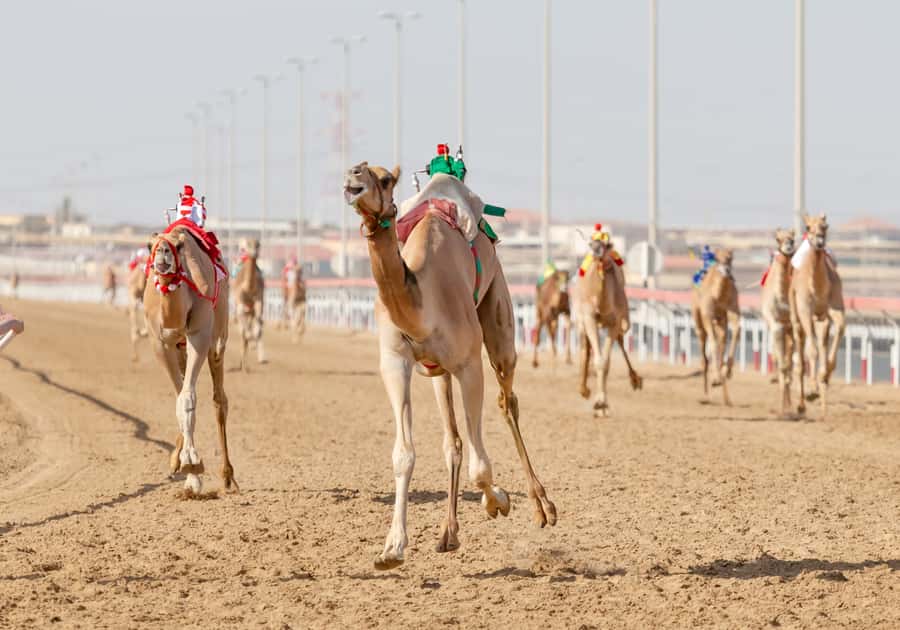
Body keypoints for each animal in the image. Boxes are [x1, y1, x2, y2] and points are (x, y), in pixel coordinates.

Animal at [143, 227, 236, 494]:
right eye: (149, 245)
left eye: (179, 246)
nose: (163, 253)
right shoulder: (161, 344)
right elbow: (180, 398)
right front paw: (187, 469)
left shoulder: (199, 335)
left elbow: (187, 398)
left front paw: (192, 465)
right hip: (179, 349)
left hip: (218, 339)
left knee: (219, 400)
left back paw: (227, 475)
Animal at [344, 162, 556, 570]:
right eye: (359, 171)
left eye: (386, 179)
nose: (354, 176)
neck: (423, 305)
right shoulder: (395, 362)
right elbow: (404, 454)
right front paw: (392, 548)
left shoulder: (469, 364)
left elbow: (481, 466)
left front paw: (499, 501)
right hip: (436, 371)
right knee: (453, 439)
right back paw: (449, 533)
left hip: (498, 317)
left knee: (507, 402)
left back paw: (543, 506)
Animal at [573, 239, 642, 417]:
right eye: (591, 242)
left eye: (606, 244)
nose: (596, 249)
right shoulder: (589, 318)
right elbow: (598, 360)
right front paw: (598, 403)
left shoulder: (615, 322)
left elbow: (606, 362)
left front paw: (602, 404)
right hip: (581, 320)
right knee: (585, 347)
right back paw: (583, 389)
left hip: (622, 321)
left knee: (619, 342)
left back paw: (635, 379)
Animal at [691, 249, 740, 406]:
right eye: (718, 259)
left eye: (730, 258)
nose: (727, 270)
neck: (719, 295)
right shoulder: (707, 315)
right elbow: (712, 344)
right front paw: (717, 378)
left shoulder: (733, 313)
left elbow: (736, 332)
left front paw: (727, 371)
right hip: (698, 320)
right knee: (704, 356)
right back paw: (706, 395)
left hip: (720, 321)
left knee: (721, 343)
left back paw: (726, 397)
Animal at [789, 214, 845, 419]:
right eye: (807, 227)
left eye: (825, 226)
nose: (819, 242)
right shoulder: (805, 311)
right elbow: (811, 351)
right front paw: (812, 391)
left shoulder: (834, 309)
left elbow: (839, 329)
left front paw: (826, 374)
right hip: (797, 319)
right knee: (801, 353)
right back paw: (802, 404)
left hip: (821, 320)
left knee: (821, 343)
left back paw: (822, 404)